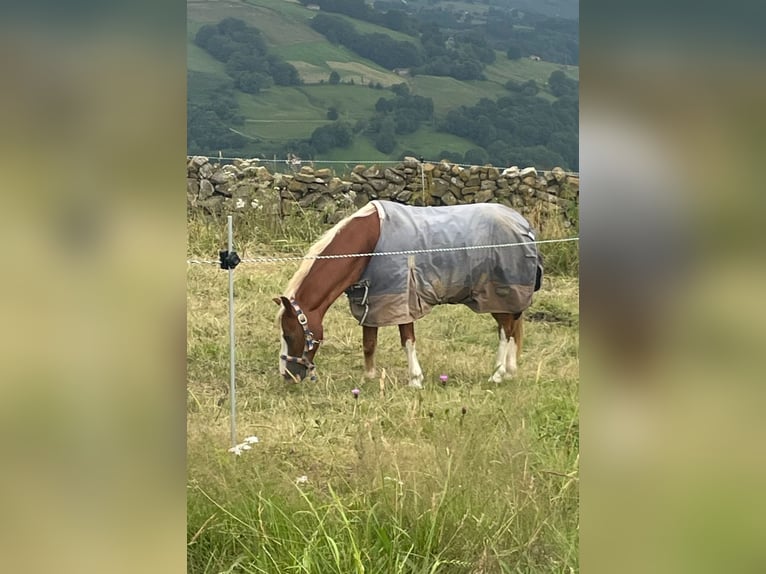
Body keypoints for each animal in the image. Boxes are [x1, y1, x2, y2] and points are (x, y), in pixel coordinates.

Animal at [272, 200, 544, 390]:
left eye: (289, 334)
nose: (287, 376)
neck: (370, 244)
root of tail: (523, 225)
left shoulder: (404, 297)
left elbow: (407, 340)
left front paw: (415, 379)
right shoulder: (373, 301)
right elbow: (369, 342)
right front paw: (369, 377)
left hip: (500, 296)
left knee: (505, 332)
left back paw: (497, 375)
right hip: (500, 300)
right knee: (511, 329)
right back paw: (509, 371)